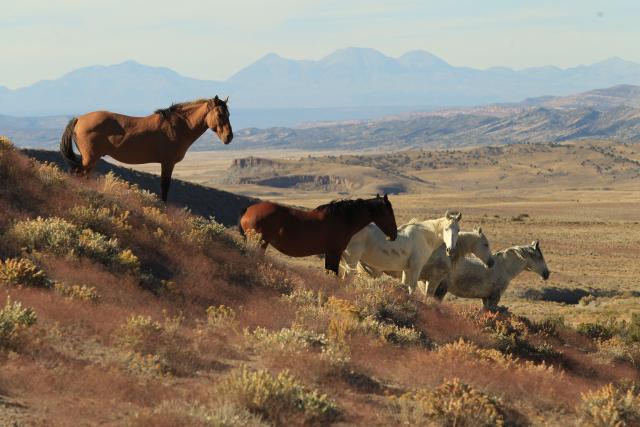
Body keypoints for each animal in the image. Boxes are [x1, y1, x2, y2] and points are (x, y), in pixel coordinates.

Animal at [60, 96, 234, 201]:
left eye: (229, 114)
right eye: (220, 114)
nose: (229, 137)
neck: (178, 126)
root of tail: (79, 119)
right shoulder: (167, 163)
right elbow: (165, 187)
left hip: (92, 160)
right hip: (89, 159)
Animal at [240, 196, 400, 276]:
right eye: (389, 212)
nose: (394, 235)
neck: (343, 218)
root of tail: (248, 210)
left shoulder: (330, 254)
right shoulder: (333, 253)